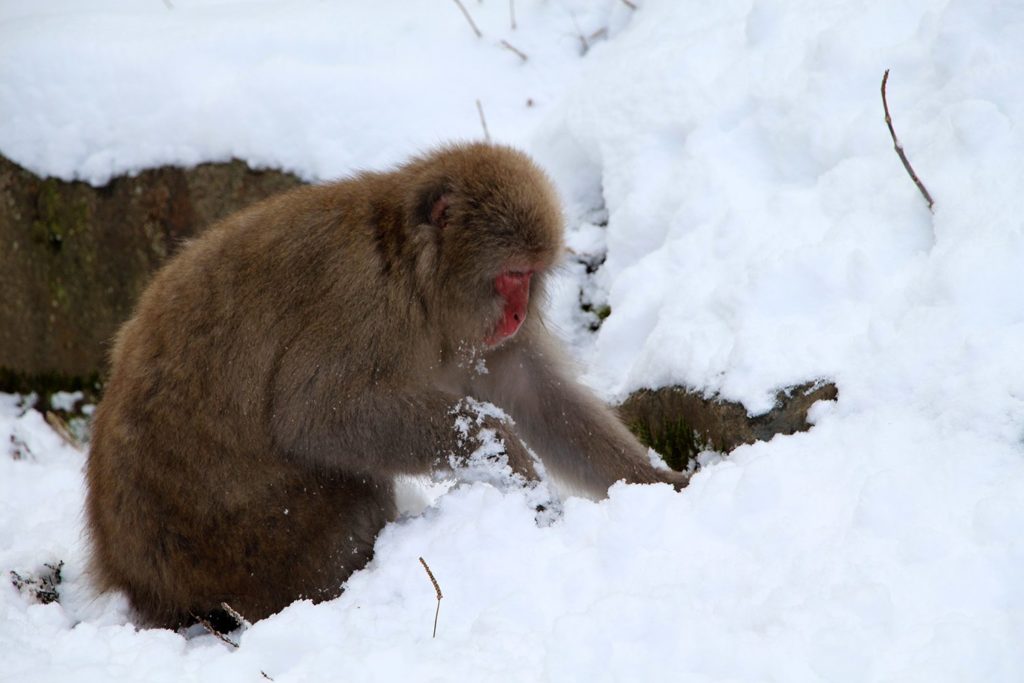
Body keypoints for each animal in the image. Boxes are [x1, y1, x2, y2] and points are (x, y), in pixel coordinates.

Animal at [86, 143, 688, 630]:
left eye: (531, 276)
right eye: (511, 275)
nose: (518, 314)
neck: (408, 264)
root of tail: (131, 576)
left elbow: (533, 393)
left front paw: (660, 483)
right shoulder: (361, 298)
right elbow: (313, 417)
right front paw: (507, 455)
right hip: (245, 549)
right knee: (350, 488)